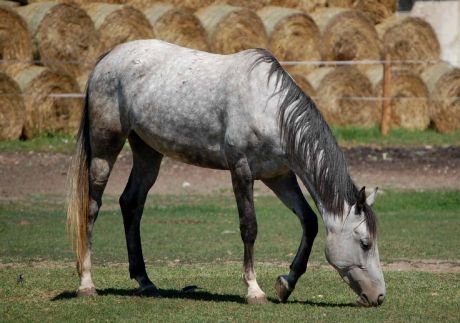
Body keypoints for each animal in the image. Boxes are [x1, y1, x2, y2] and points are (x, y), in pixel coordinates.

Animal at [66, 39, 386, 306]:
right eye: (365, 243)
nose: (379, 296)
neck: (270, 109)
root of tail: (108, 58)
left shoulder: (278, 177)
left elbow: (309, 221)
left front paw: (285, 284)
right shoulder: (241, 170)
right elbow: (249, 227)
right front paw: (254, 290)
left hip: (147, 153)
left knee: (131, 204)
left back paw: (145, 282)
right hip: (105, 148)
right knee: (92, 208)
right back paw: (86, 284)